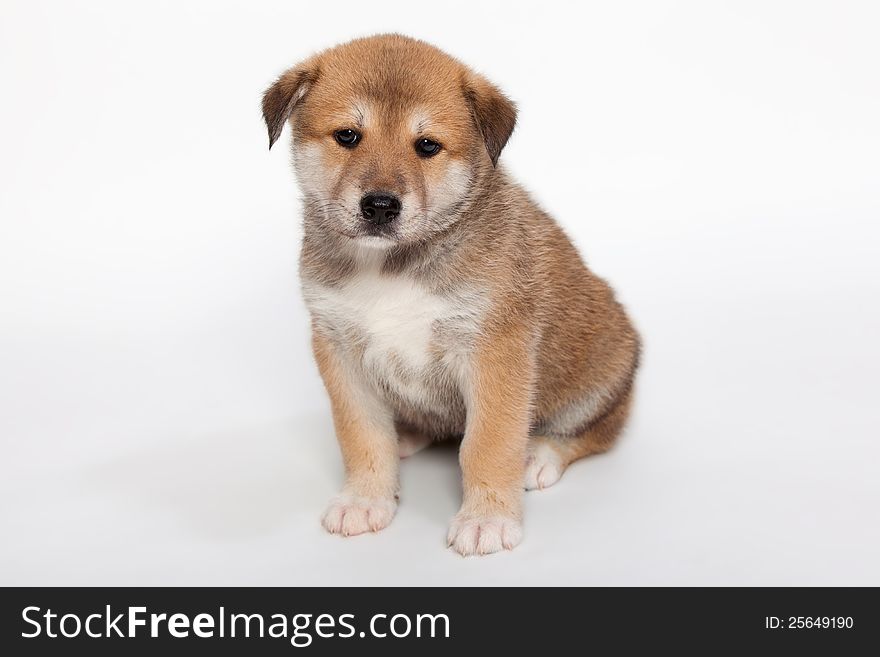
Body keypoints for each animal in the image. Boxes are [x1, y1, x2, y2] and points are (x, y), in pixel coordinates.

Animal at [262, 34, 640, 552]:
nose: (380, 206)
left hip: (604, 374)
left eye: (427, 146)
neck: (392, 266)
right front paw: (365, 499)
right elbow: (362, 436)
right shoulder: (339, 349)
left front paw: (487, 518)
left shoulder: (493, 351)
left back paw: (539, 454)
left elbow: (487, 444)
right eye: (347, 136)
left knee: (599, 430)